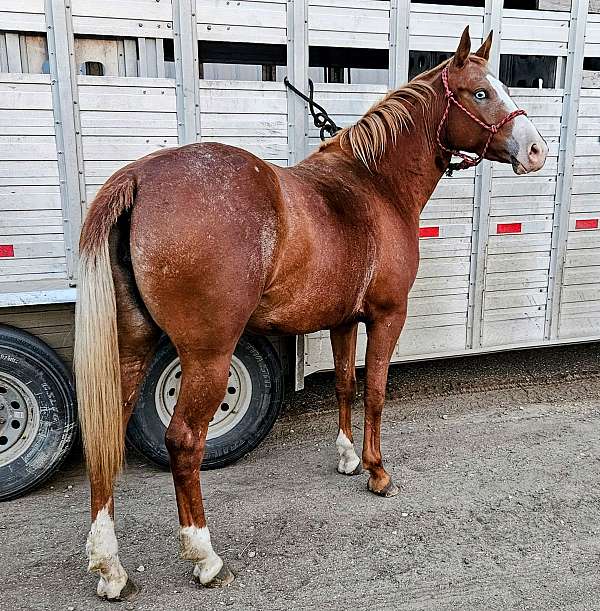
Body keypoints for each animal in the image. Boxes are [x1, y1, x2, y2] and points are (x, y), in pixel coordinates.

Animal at [74, 26, 544, 600]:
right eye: (480, 92)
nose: (537, 150)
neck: (375, 186)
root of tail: (140, 178)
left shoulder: (343, 320)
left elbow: (344, 384)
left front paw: (346, 457)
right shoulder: (388, 316)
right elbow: (376, 392)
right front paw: (377, 472)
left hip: (131, 347)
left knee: (107, 436)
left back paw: (109, 566)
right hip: (208, 356)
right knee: (184, 441)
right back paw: (205, 556)